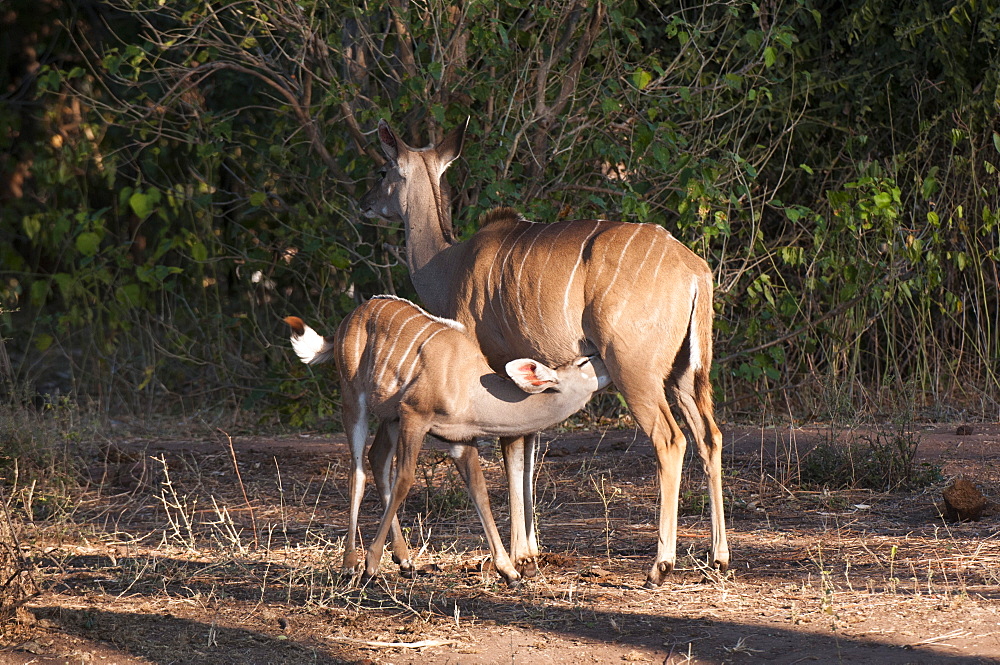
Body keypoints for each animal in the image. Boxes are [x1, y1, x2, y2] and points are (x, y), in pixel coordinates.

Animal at [286, 296, 604, 580]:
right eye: (583, 362)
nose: (601, 354)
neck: (471, 386)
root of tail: (347, 321)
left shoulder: (460, 439)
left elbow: (479, 490)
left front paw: (509, 571)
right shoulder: (414, 415)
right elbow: (405, 479)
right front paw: (371, 565)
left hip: (389, 417)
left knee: (377, 459)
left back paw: (405, 560)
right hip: (354, 399)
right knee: (358, 470)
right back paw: (350, 564)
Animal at [358, 120, 728, 588]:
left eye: (383, 170)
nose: (364, 204)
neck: (447, 264)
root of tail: (696, 271)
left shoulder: (496, 368)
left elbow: (511, 449)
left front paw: (518, 556)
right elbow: (529, 447)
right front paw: (531, 551)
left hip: (635, 371)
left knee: (670, 439)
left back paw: (660, 566)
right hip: (685, 374)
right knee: (709, 436)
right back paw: (719, 557)